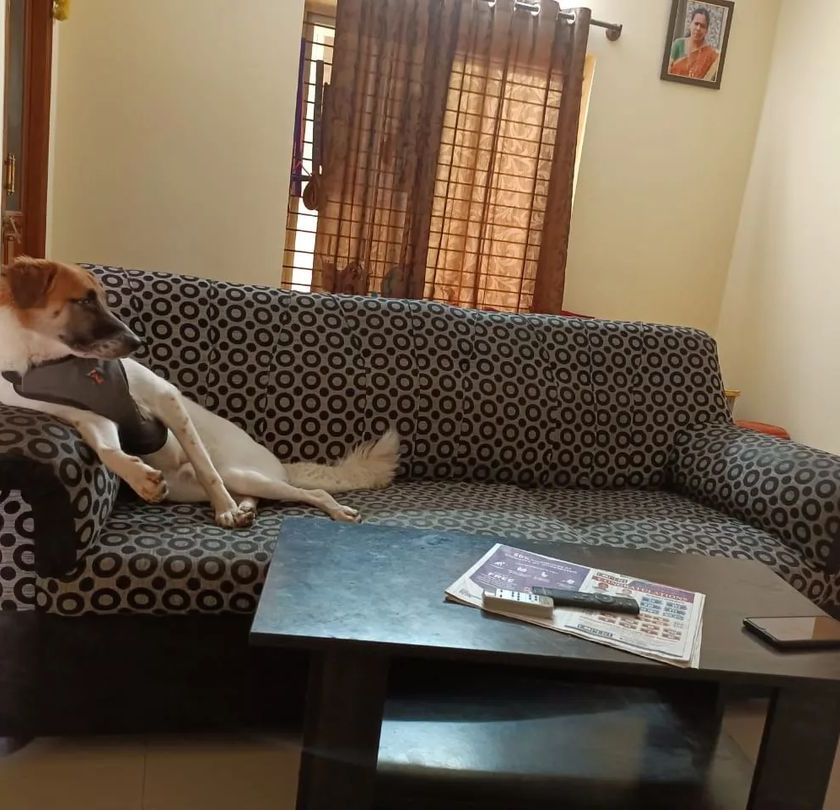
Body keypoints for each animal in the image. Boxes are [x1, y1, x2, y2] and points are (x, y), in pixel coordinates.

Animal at [0, 257, 399, 528]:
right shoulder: (90, 418)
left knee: (309, 492)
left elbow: (205, 465)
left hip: (244, 474)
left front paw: (223, 509)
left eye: (101, 299)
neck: (46, 360)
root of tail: (279, 465)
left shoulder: (165, 398)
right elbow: (108, 449)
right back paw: (245, 508)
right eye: (84, 300)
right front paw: (139, 478)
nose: (137, 342)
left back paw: (324, 509)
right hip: (189, 487)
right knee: (254, 495)